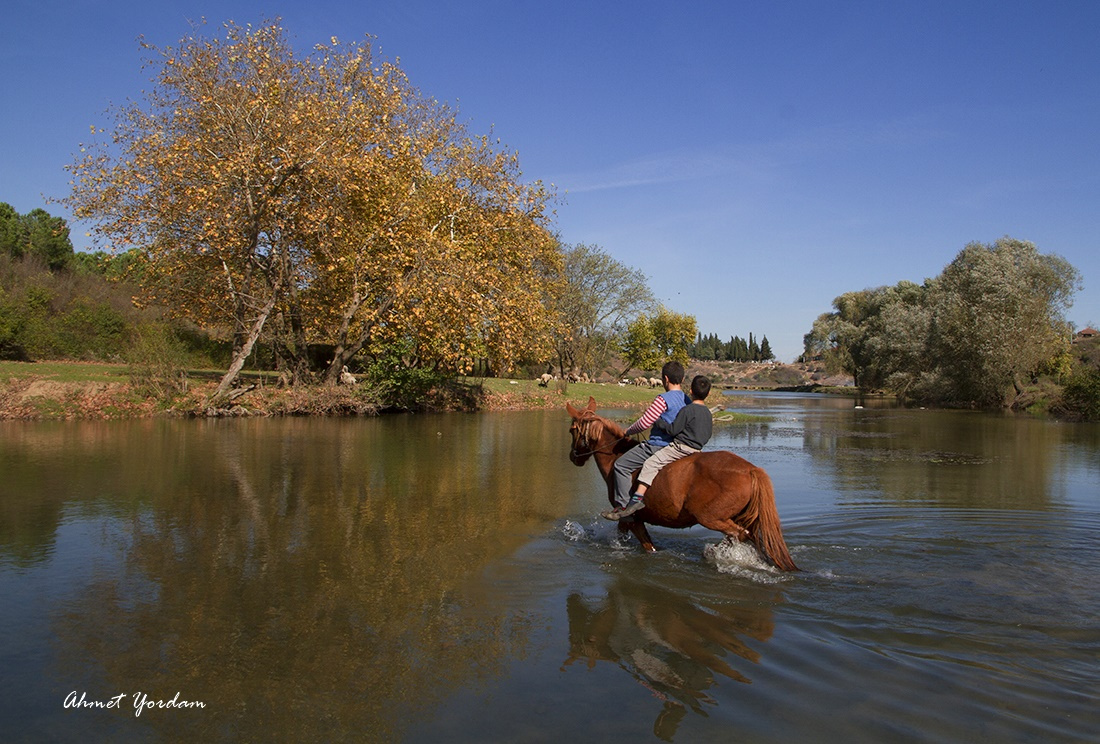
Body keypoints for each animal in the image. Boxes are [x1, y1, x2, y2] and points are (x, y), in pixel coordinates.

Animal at [567, 398, 800, 572]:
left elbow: (647, 545)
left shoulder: (631, 518)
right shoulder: (628, 520)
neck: (617, 456)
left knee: (739, 535)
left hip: (710, 517)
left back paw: (712, 553)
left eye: (571, 430)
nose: (573, 458)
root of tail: (751, 469)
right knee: (748, 537)